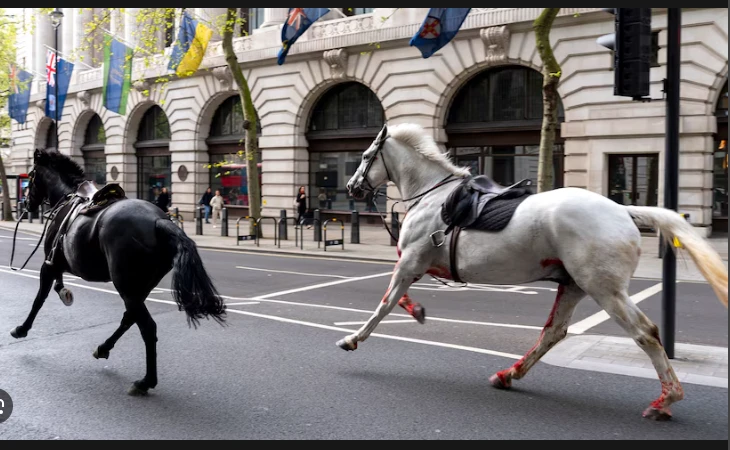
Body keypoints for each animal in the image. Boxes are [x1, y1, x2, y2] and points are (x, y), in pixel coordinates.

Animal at [13, 149, 225, 396]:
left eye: (31, 176)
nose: (25, 203)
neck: (67, 197)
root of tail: (159, 221)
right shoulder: (58, 264)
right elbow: (56, 285)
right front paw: (64, 292)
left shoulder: (49, 264)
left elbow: (39, 299)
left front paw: (22, 329)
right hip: (139, 287)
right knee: (130, 318)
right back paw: (104, 348)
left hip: (126, 286)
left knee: (147, 327)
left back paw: (145, 381)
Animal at [338, 122, 724, 418]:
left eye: (365, 156)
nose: (351, 187)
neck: (432, 196)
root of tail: (624, 211)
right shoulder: (415, 264)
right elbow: (397, 299)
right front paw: (416, 310)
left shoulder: (410, 261)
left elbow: (385, 304)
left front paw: (353, 338)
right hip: (574, 285)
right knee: (553, 332)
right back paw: (509, 374)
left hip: (604, 288)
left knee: (646, 333)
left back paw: (666, 399)